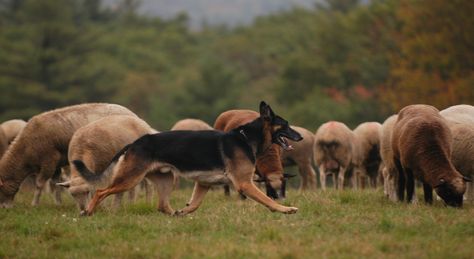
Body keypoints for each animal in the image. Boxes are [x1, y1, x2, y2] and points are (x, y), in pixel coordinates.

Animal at [0, 102, 136, 208]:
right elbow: (56, 184)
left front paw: (34, 204)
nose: (4, 208)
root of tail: (131, 113)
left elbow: (39, 184)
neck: (25, 151)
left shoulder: (49, 161)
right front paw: (58, 203)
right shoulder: (55, 165)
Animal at [75, 102, 304, 216]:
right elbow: (267, 199)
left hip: (165, 180)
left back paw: (175, 214)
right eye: (285, 125)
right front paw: (286, 209)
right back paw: (88, 212)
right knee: (101, 192)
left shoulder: (203, 183)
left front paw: (184, 211)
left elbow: (194, 204)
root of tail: (135, 142)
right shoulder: (245, 184)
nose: (300, 137)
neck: (247, 138)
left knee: (162, 206)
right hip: (130, 179)